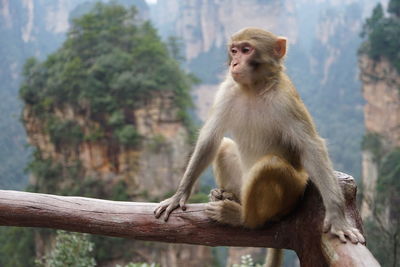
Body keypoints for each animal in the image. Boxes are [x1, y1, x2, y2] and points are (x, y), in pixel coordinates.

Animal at [154, 27, 366, 267]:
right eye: (234, 50)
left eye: (246, 50)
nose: (235, 63)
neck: (254, 88)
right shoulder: (227, 89)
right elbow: (211, 138)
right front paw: (179, 195)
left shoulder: (286, 100)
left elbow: (311, 147)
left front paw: (338, 218)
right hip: (240, 181)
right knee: (225, 146)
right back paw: (228, 196)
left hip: (291, 193)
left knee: (270, 166)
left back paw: (242, 218)